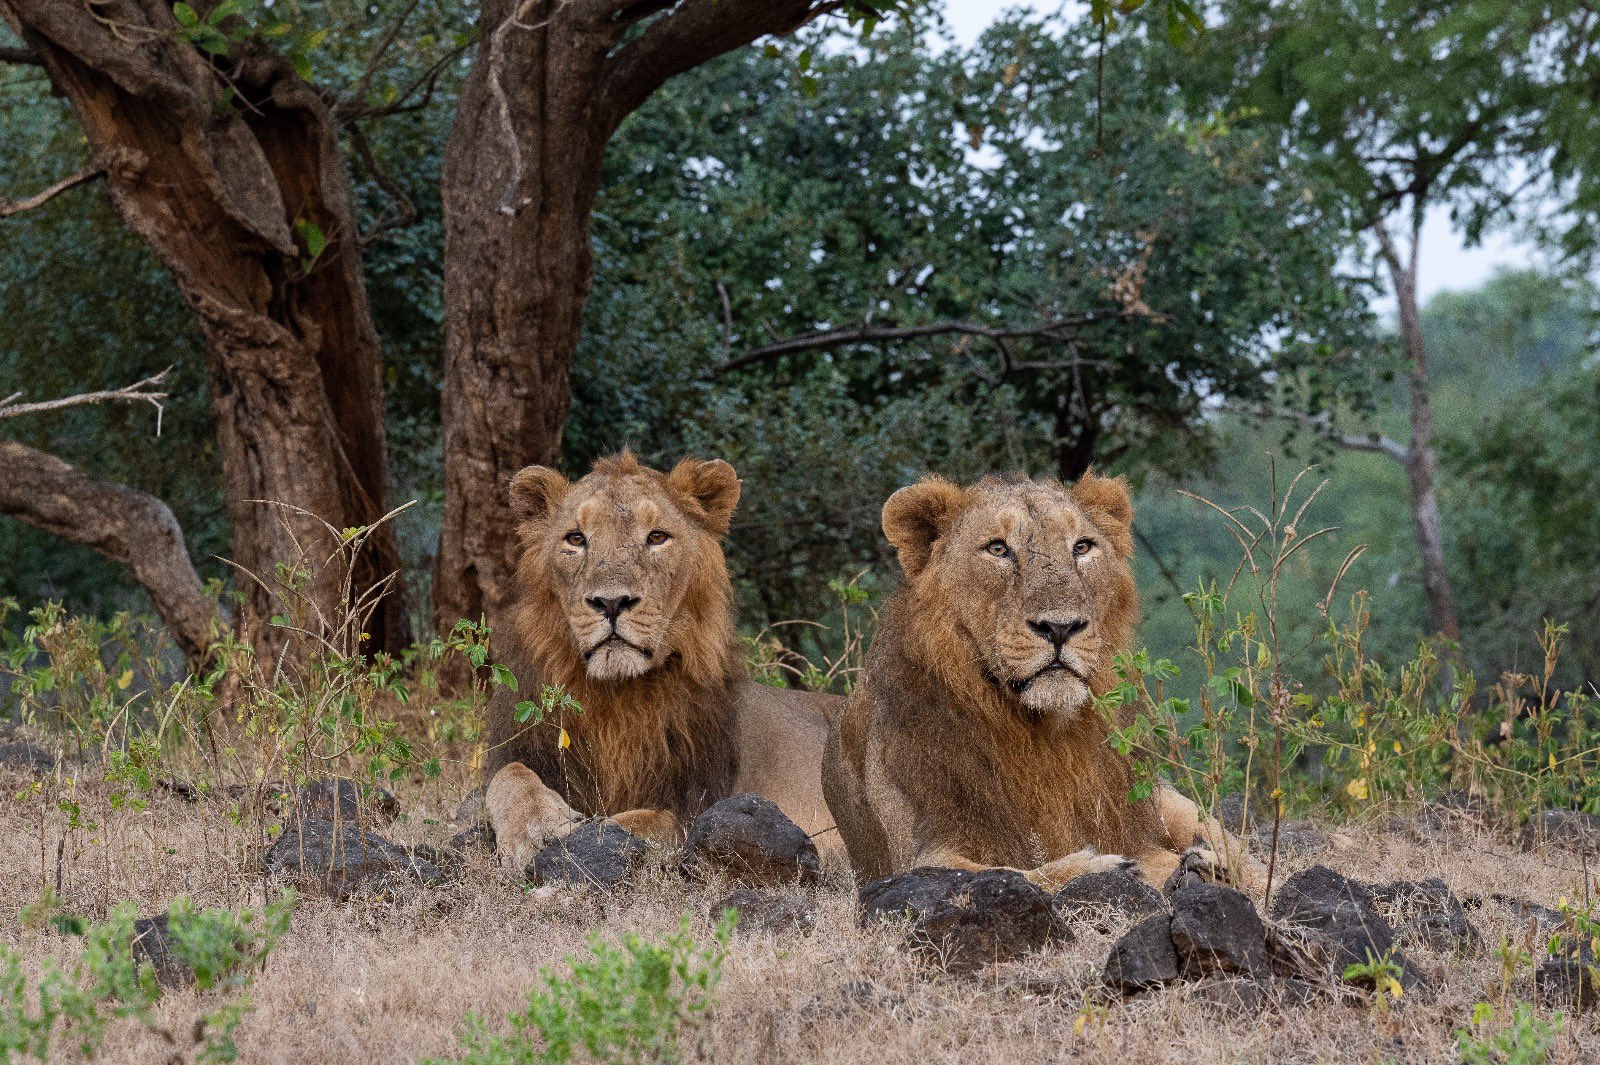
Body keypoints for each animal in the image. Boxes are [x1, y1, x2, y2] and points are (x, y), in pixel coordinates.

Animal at [483, 451, 840, 871]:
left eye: (656, 537)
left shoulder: (693, 805)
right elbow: (508, 776)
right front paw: (537, 824)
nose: (611, 602)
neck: (616, 697)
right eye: (575, 538)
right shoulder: (522, 750)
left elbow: (636, 823)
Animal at [822, 471, 1261, 893]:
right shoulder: (921, 853)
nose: (1061, 627)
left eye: (1082, 547)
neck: (1040, 733)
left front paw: (1189, 867)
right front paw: (1106, 866)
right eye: (997, 549)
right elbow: (1014, 873)